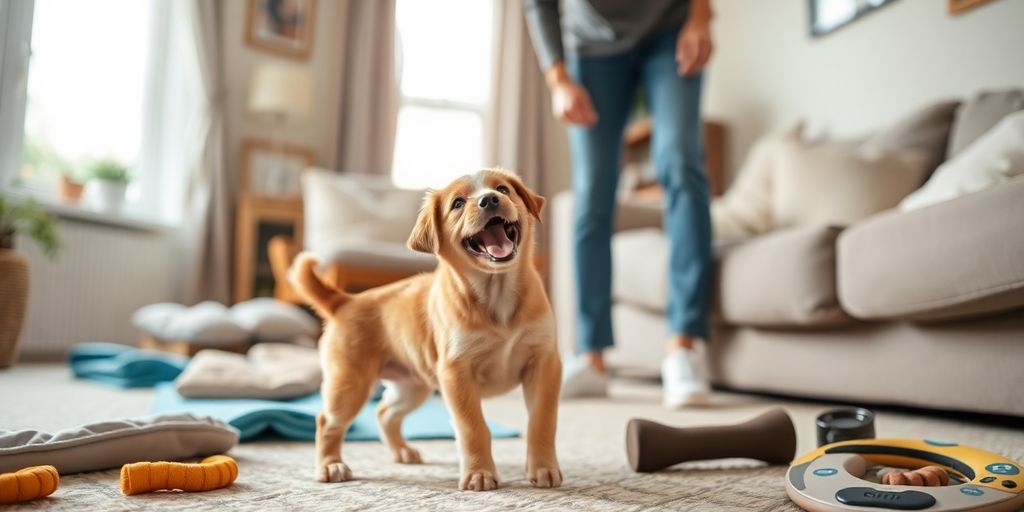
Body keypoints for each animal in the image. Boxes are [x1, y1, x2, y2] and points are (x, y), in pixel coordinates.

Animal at [290, 169, 561, 489]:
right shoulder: (456, 372)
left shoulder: (544, 362)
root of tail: (345, 301)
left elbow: (542, 422)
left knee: (385, 412)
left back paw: (402, 452)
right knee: (328, 421)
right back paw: (331, 465)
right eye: (458, 203)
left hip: (411, 386)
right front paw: (479, 473)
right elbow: (473, 427)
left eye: (503, 189)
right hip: (349, 382)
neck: (498, 295)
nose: (490, 199)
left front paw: (543, 468)